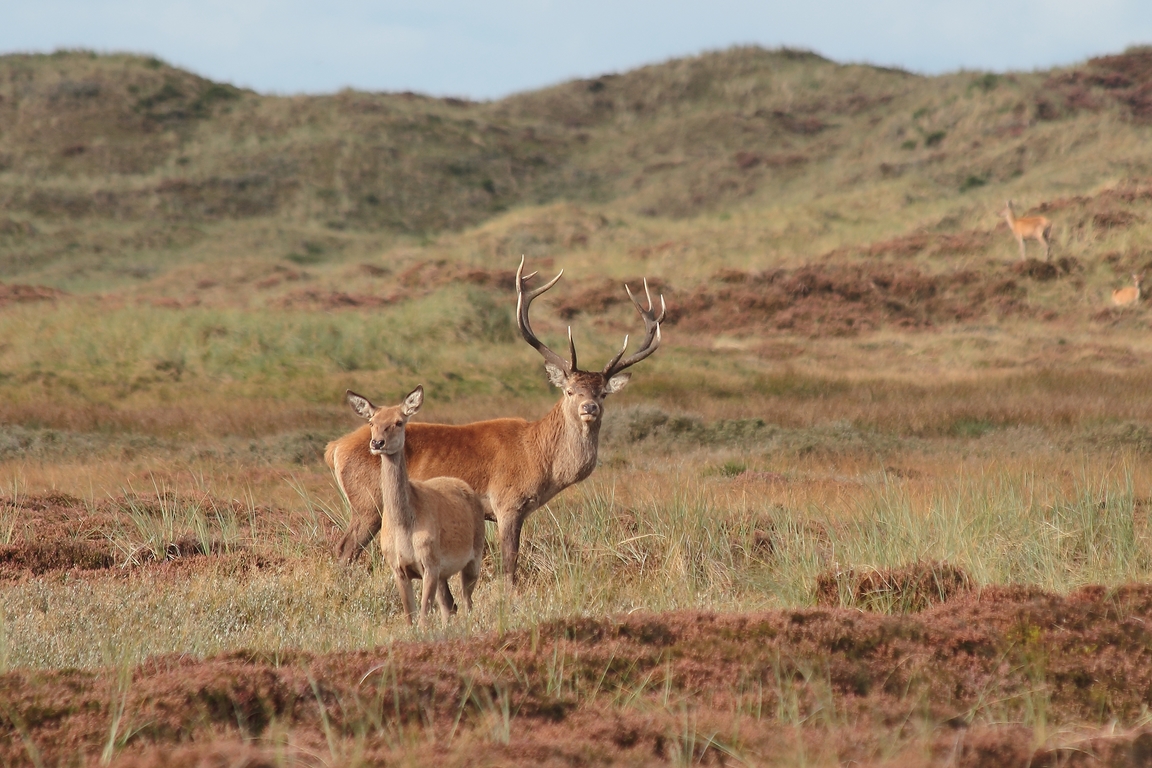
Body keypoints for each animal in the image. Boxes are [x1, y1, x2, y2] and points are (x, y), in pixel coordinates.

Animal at [327, 257, 668, 582]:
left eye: (603, 393)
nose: (589, 408)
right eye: (570, 390)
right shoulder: (507, 502)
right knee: (344, 548)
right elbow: (509, 562)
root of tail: (334, 448)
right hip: (368, 503)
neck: (539, 458)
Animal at [343, 384, 483, 626]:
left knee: (467, 602)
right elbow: (410, 617)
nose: (377, 443)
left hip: (475, 555)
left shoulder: (430, 563)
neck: (404, 527)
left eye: (399, 421)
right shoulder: (397, 567)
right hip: (445, 573)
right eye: (372, 422)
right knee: (449, 605)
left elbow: (423, 618)